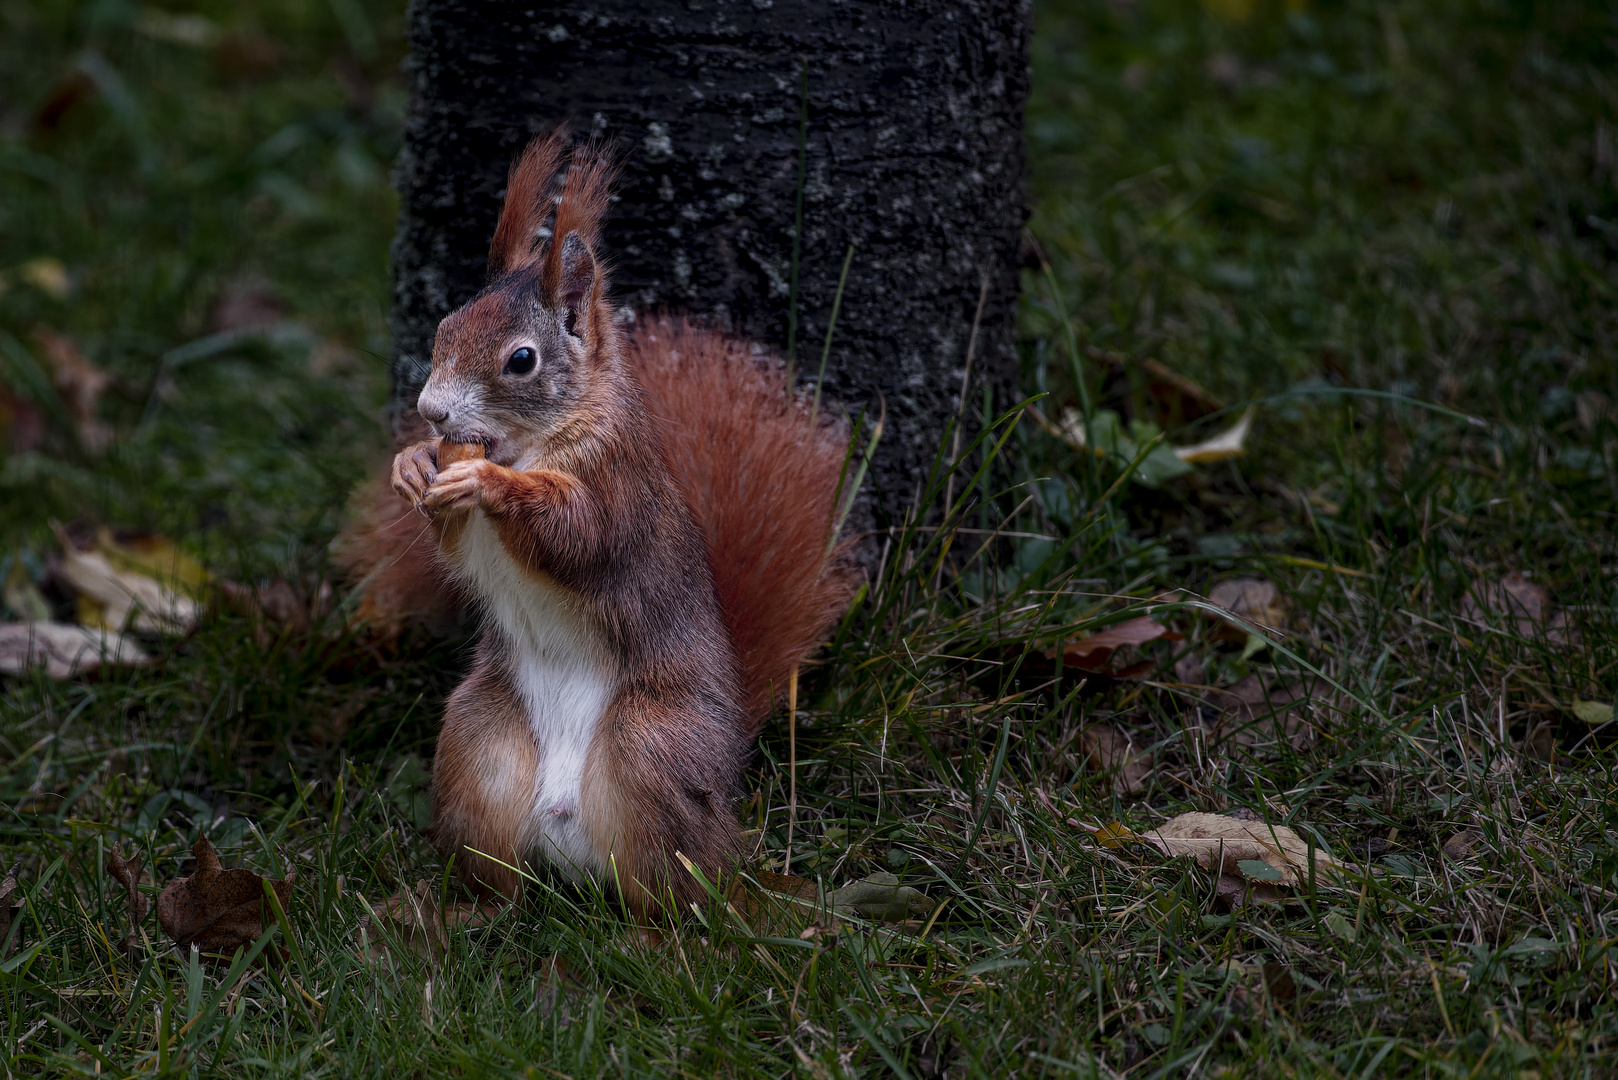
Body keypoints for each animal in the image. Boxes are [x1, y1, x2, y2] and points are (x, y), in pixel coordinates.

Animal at [338, 132, 860, 913]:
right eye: (444, 328)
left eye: (521, 360)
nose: (431, 412)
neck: (528, 443)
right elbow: (460, 549)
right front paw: (413, 465)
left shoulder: (616, 483)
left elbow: (580, 534)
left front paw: (489, 483)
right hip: (480, 744)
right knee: (502, 877)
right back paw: (461, 911)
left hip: (651, 746)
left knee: (681, 889)